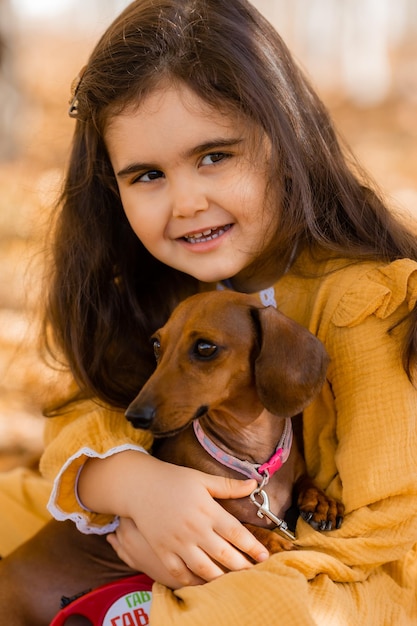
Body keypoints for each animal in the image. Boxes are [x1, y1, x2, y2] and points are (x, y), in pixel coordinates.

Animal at [125, 290, 342, 552]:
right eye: (157, 345)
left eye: (205, 347)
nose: (135, 416)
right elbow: (245, 527)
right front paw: (275, 542)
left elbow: (307, 480)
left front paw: (322, 501)